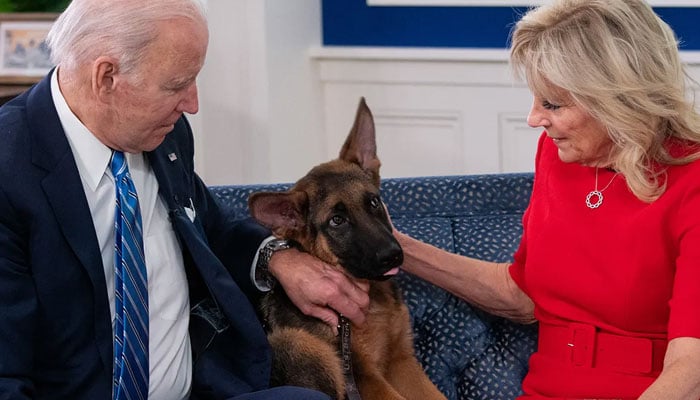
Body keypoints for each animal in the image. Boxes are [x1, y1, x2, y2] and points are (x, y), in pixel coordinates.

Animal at [249, 98, 446, 400]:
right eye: (337, 221)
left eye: (374, 202)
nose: (393, 255)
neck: (373, 296)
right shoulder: (366, 376)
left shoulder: (401, 361)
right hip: (299, 344)